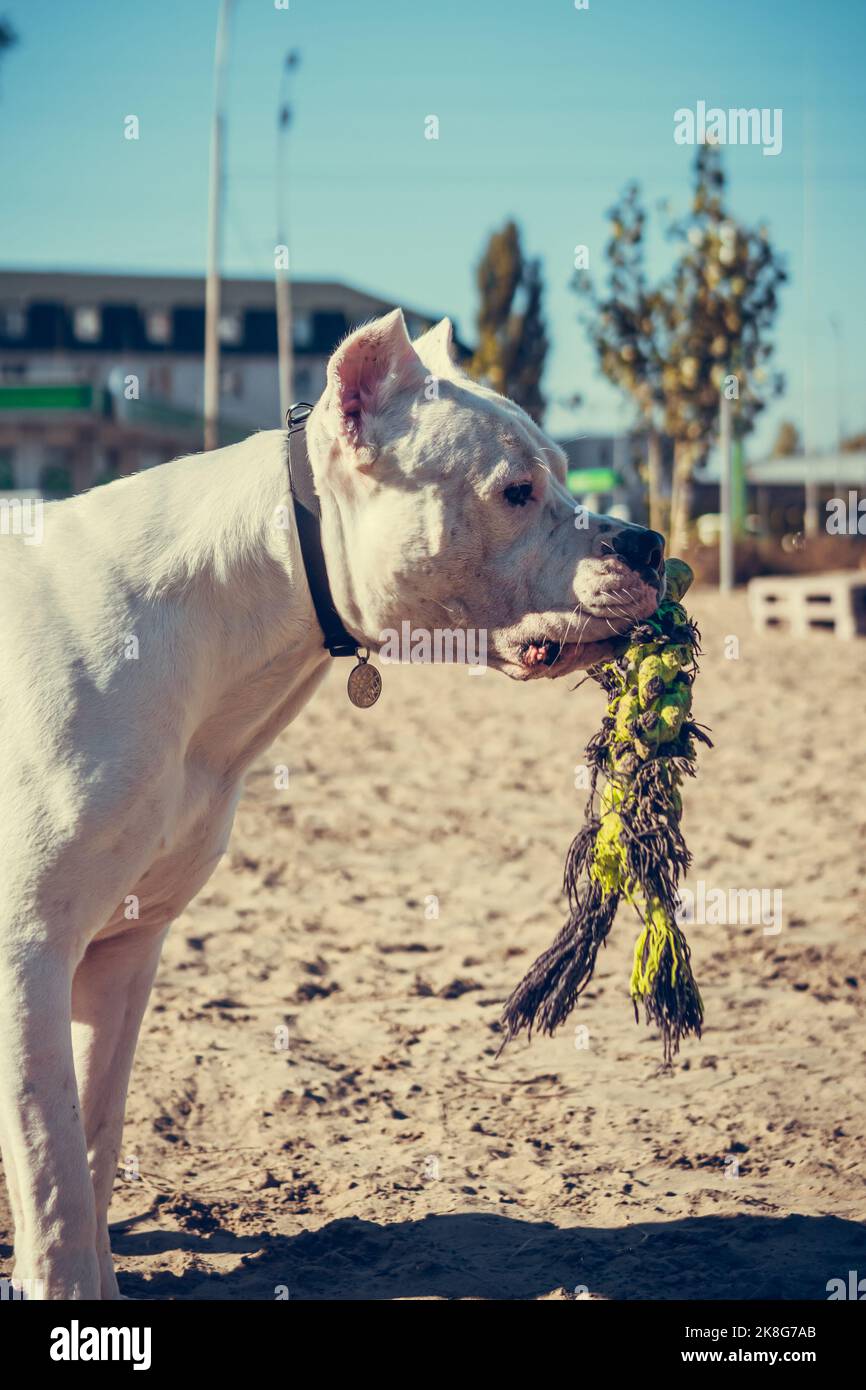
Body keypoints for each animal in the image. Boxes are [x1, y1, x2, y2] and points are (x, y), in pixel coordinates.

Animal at [0, 309, 664, 1295]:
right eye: (516, 490)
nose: (649, 542)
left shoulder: (122, 951)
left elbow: (90, 1148)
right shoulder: (28, 952)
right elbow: (50, 1174)